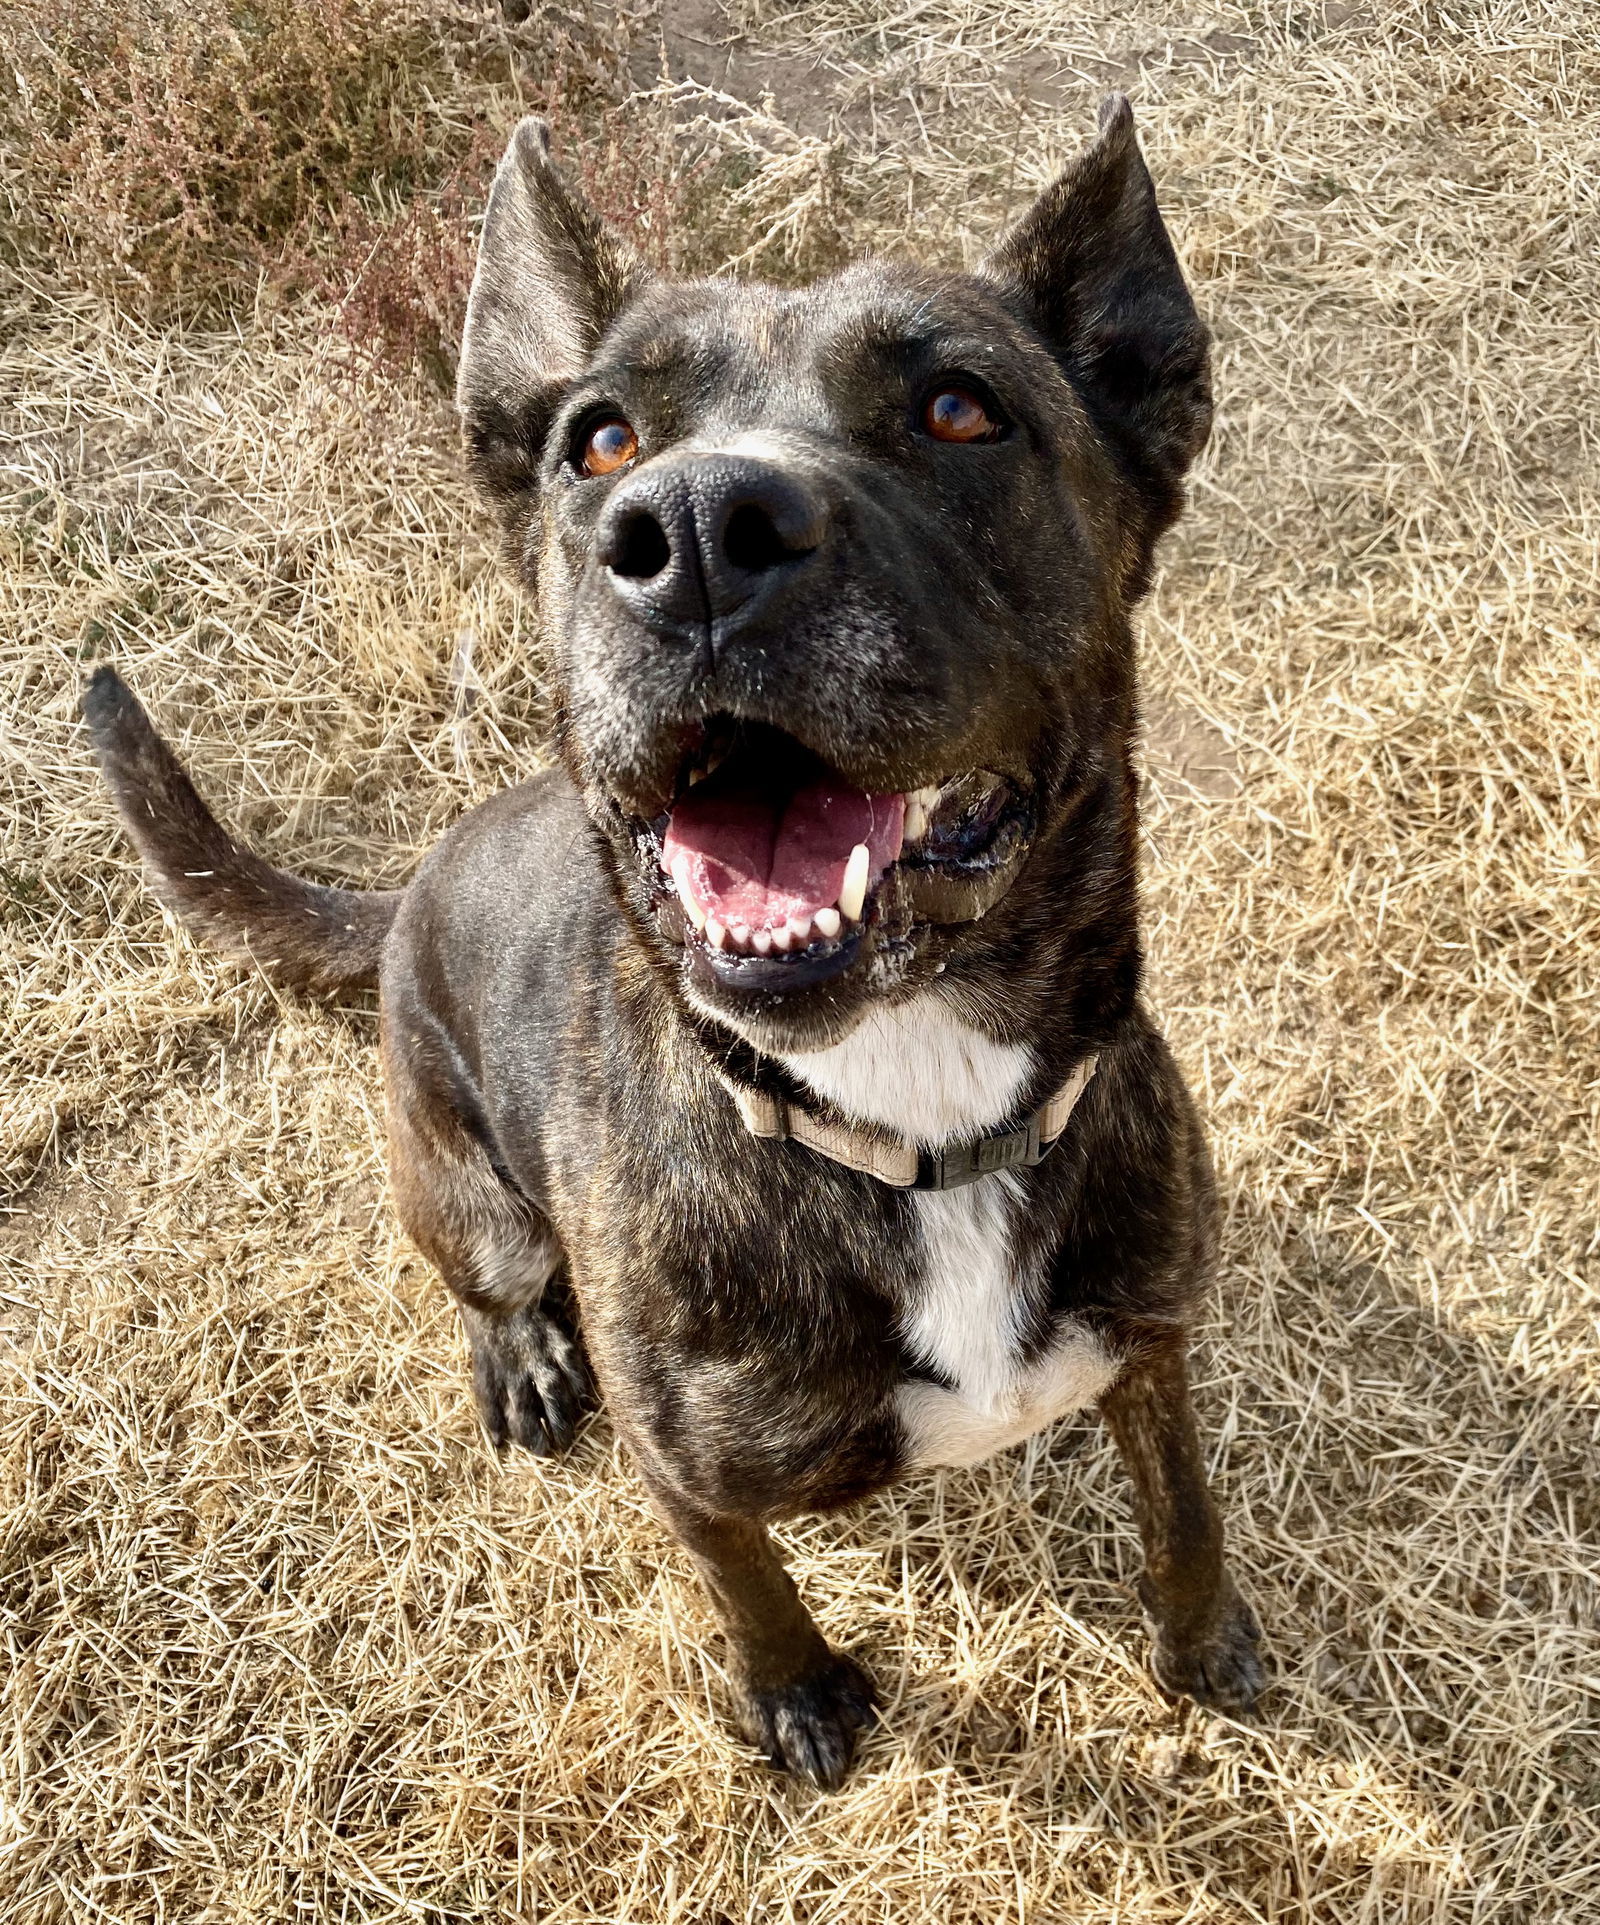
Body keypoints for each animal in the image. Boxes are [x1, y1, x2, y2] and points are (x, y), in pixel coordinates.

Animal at [84, 97, 1263, 1786]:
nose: (698, 529)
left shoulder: (1154, 1340)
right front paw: (798, 1694)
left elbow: (1183, 1506)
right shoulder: (690, 1473)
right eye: (602, 440)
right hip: (464, 1193)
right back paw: (522, 1358)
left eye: (960, 409)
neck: (910, 1112)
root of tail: (411, 884)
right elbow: (746, 1578)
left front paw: (1206, 1640)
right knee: (490, 1279)